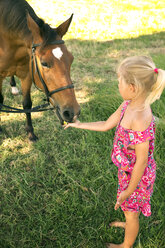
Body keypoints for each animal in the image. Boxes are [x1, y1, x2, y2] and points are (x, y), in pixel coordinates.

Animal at [0, 0, 80, 140]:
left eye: (71, 59)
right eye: (44, 63)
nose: (72, 112)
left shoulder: (27, 75)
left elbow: (27, 104)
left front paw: (30, 133)